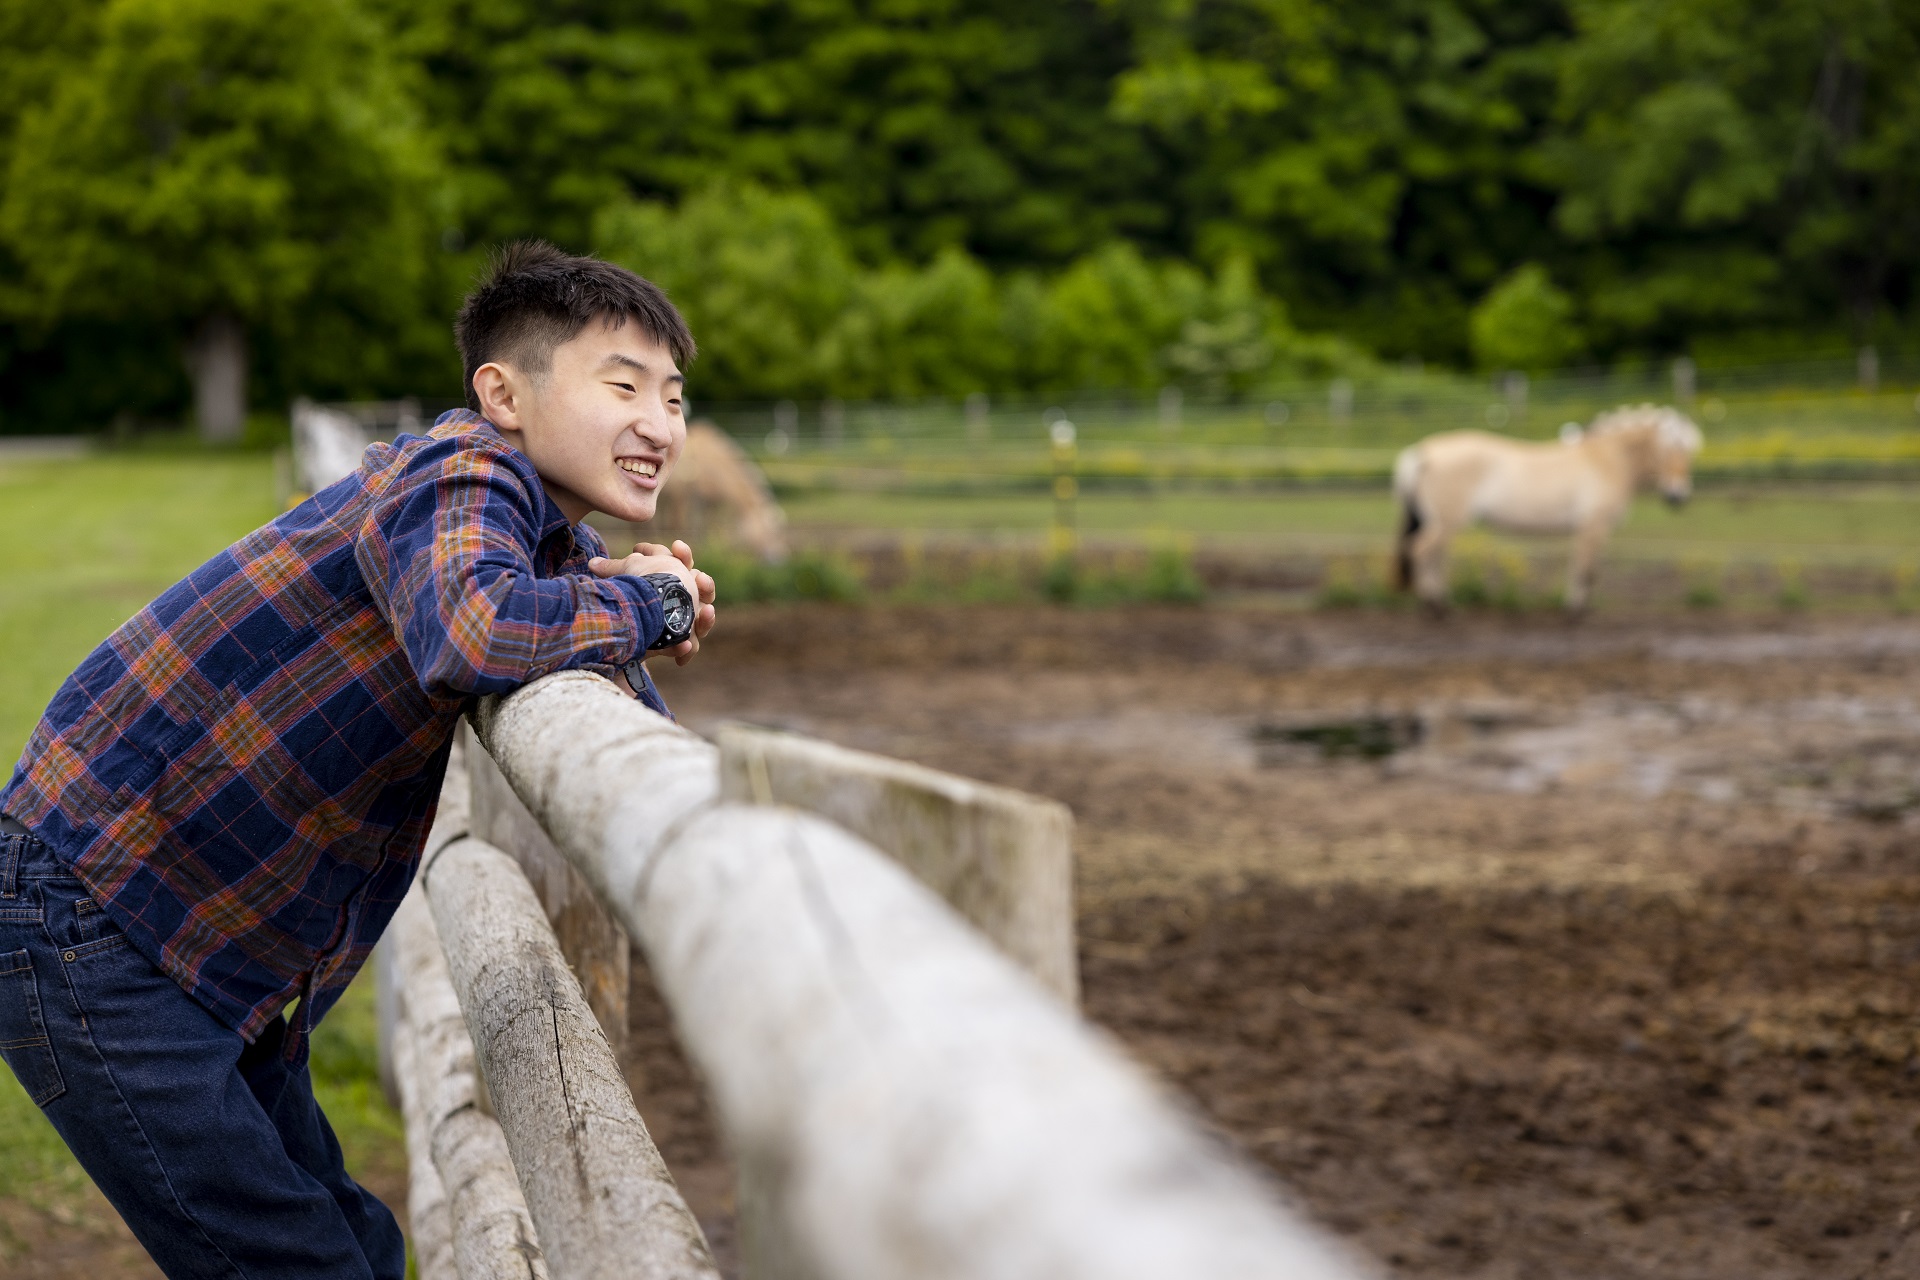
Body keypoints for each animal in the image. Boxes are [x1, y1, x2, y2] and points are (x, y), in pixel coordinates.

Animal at [1390, 408, 1704, 614]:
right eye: (1668, 451)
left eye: (1689, 452)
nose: (1678, 496)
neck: (1607, 460)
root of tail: (1425, 452)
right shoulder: (1593, 527)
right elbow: (1586, 569)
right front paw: (1576, 610)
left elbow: (1586, 567)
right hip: (1446, 522)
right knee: (1421, 551)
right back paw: (1436, 607)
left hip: (1442, 523)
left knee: (1435, 555)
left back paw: (1442, 601)